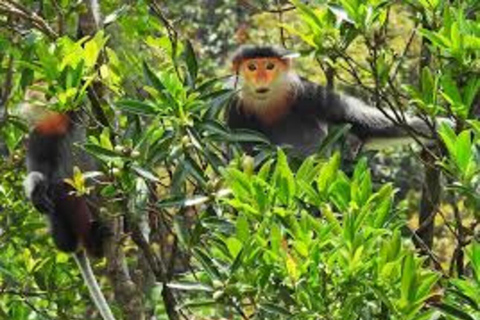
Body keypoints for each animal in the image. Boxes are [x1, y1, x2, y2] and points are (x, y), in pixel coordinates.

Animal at [21, 87, 116, 320]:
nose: (39, 99)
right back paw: (94, 241)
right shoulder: (39, 137)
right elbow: (38, 172)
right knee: (61, 189)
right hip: (65, 228)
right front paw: (36, 192)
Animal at [225, 45, 436, 159]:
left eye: (270, 66)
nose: (261, 79)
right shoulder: (233, 105)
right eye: (252, 67)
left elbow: (360, 123)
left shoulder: (308, 93)